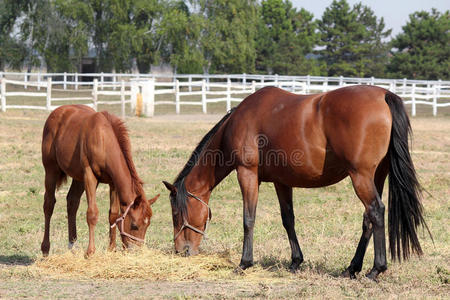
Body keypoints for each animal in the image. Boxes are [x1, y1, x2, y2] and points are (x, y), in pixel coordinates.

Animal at [40, 105, 159, 255]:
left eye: (147, 224)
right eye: (134, 225)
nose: (137, 251)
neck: (103, 140)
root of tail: (56, 112)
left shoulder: (113, 182)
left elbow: (113, 214)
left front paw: (111, 249)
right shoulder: (89, 176)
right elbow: (92, 213)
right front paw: (90, 252)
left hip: (78, 178)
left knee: (72, 202)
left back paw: (72, 246)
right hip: (51, 170)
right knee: (49, 204)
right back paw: (45, 249)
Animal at [163, 85, 430, 280]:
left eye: (176, 214)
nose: (181, 250)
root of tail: (384, 95)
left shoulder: (247, 174)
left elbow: (248, 219)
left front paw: (244, 263)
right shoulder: (282, 182)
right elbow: (288, 220)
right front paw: (295, 262)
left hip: (361, 176)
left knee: (375, 211)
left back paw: (375, 269)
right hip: (376, 176)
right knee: (369, 219)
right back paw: (352, 268)